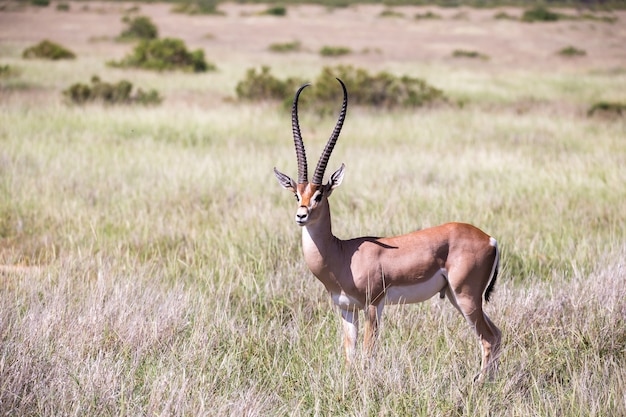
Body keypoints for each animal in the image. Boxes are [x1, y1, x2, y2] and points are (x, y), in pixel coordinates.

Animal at [270, 78, 500, 380]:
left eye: (320, 195)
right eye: (297, 195)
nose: (301, 215)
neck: (342, 255)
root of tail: (490, 239)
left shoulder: (373, 306)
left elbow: (368, 354)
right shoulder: (346, 310)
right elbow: (350, 354)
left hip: (467, 297)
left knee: (488, 338)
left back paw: (479, 384)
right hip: (455, 296)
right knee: (497, 334)